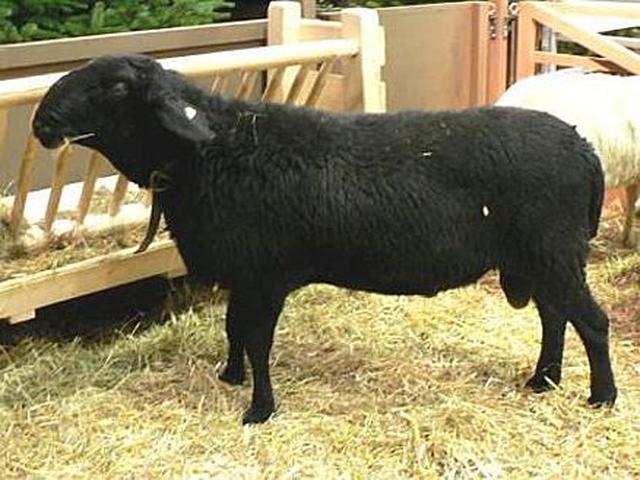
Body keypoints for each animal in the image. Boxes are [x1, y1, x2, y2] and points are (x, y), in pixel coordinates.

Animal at [32, 54, 617, 424]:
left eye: (116, 87)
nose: (42, 121)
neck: (215, 152)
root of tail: (584, 149)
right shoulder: (244, 274)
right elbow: (233, 329)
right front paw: (230, 377)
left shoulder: (265, 275)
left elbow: (258, 340)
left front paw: (259, 410)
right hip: (541, 257)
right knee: (554, 317)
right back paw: (543, 380)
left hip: (554, 250)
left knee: (591, 321)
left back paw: (602, 397)